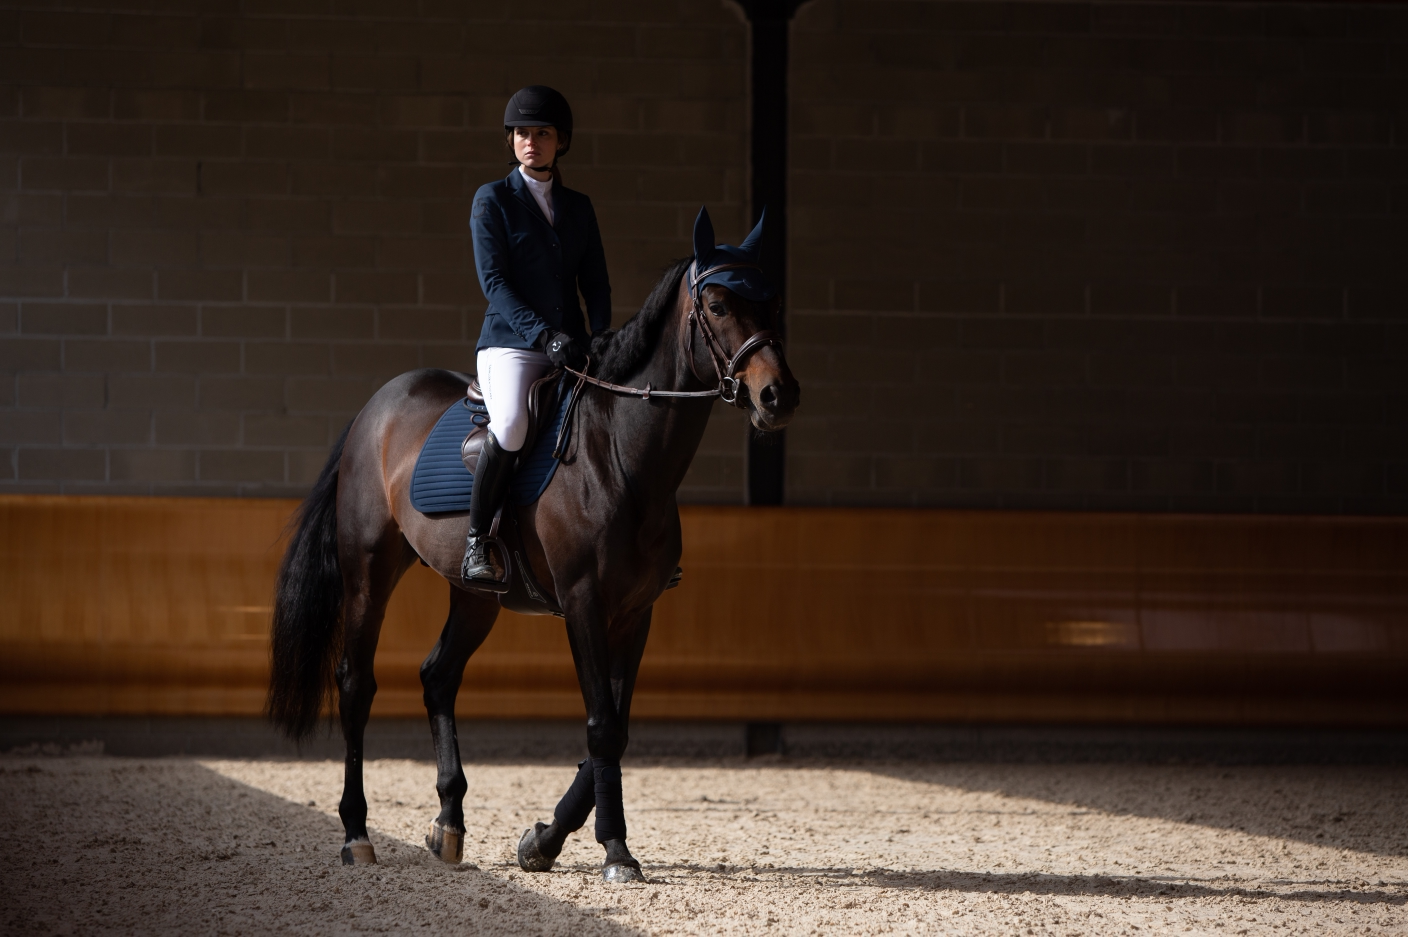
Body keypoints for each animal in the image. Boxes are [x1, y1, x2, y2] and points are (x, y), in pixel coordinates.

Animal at [266, 254, 800, 882]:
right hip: (369, 571)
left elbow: (616, 729)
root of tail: (375, 407)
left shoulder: (636, 613)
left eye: (773, 304)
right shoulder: (583, 602)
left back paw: (448, 825)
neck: (618, 453)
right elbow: (602, 725)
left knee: (438, 675)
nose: (779, 395)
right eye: (716, 306)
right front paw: (612, 850)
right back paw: (356, 834)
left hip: (476, 597)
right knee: (355, 683)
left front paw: (543, 840)